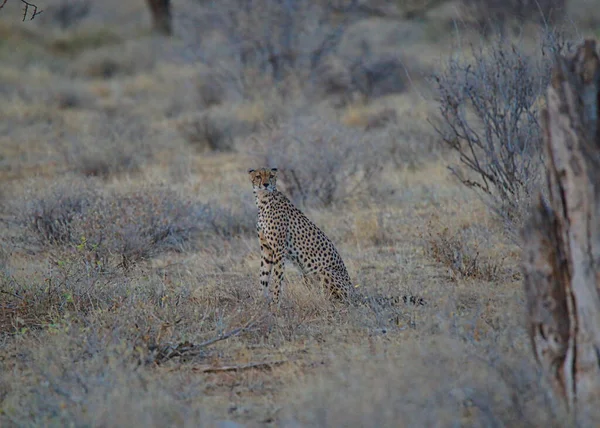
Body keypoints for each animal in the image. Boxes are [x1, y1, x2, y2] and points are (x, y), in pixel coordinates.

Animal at [247, 166, 426, 308]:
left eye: (271, 176)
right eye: (258, 176)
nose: (265, 184)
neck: (263, 200)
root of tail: (354, 290)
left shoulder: (278, 249)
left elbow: (277, 278)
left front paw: (275, 303)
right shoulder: (266, 249)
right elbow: (263, 276)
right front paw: (259, 301)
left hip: (324, 272)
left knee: (342, 300)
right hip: (306, 275)